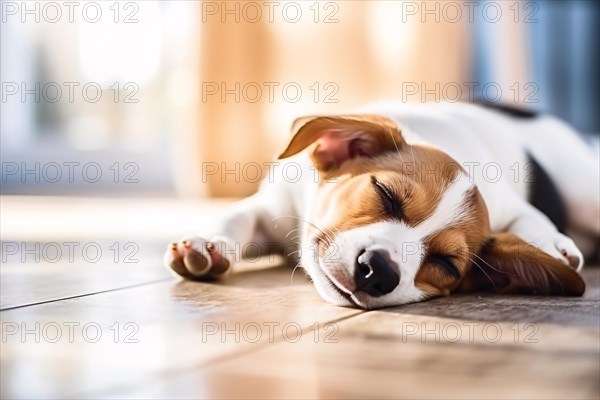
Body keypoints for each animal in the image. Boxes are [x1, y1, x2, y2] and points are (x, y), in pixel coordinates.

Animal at [165, 101, 600, 308]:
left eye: (445, 264)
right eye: (384, 194)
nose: (378, 270)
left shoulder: (514, 206)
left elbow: (534, 217)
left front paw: (548, 243)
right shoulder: (274, 205)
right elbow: (237, 217)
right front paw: (210, 244)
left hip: (585, 195)